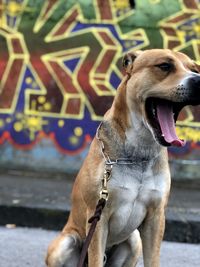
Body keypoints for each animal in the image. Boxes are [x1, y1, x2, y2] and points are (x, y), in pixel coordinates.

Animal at [45, 49, 200, 267]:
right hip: (65, 243)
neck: (138, 152)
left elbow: (153, 259)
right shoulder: (98, 218)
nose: (198, 80)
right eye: (164, 66)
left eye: (195, 69)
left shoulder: (156, 217)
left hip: (134, 241)